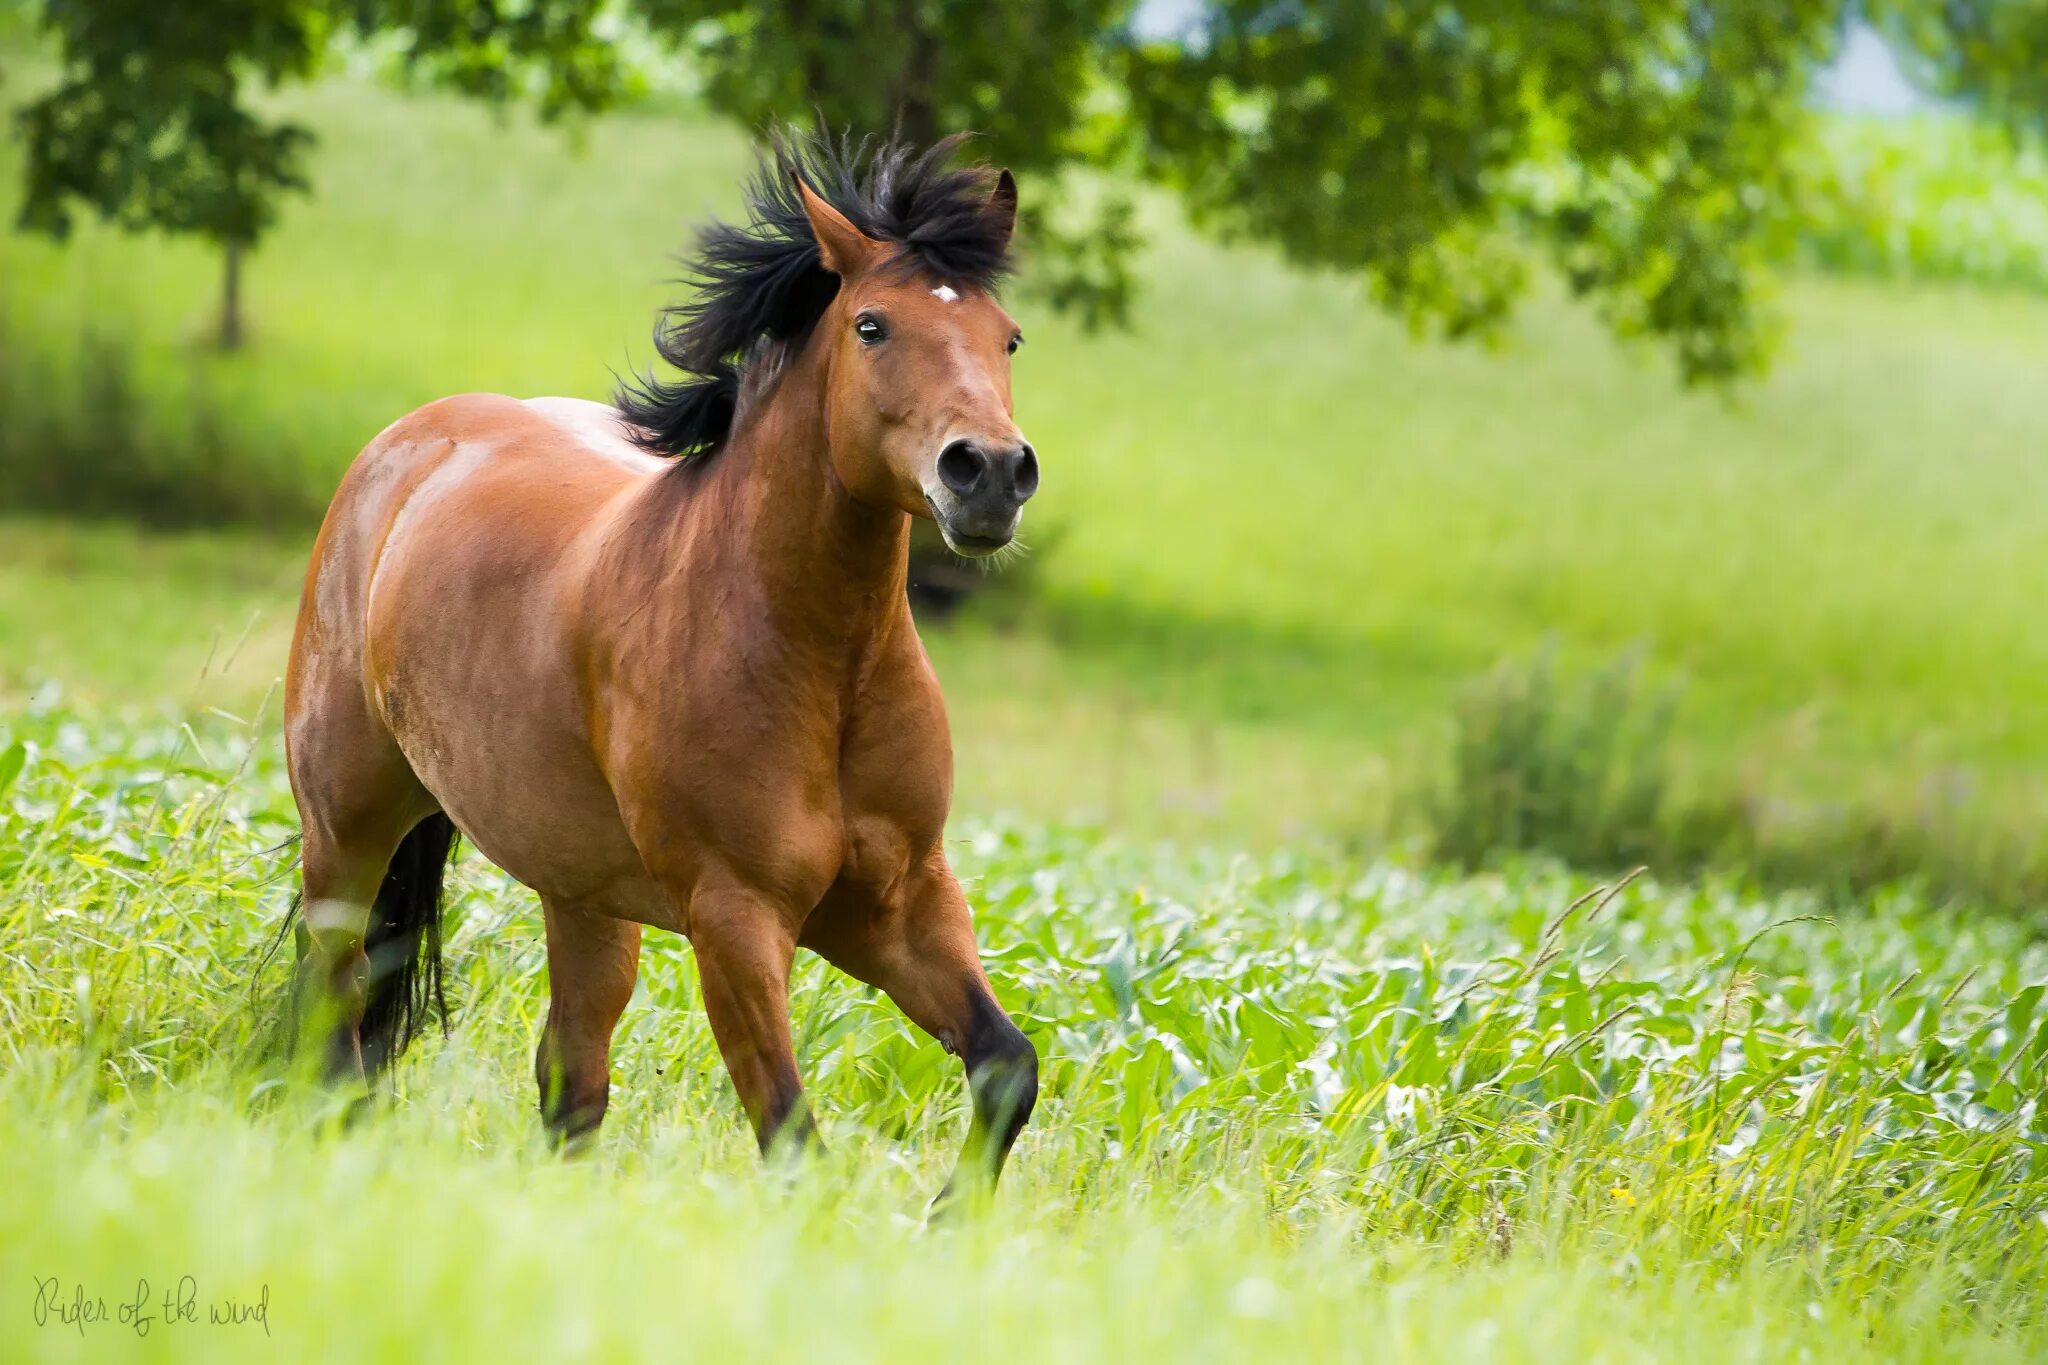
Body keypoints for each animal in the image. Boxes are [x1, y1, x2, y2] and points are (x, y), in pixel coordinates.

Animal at [284, 133, 1040, 1203]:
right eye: (872, 325)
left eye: (1007, 337)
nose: (990, 474)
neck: (823, 666)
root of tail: (406, 448)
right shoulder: (736, 916)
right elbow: (793, 1137)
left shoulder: (900, 902)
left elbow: (1007, 1065)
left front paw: (948, 1218)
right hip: (346, 833)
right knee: (335, 1012)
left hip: (585, 899)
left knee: (569, 1080)